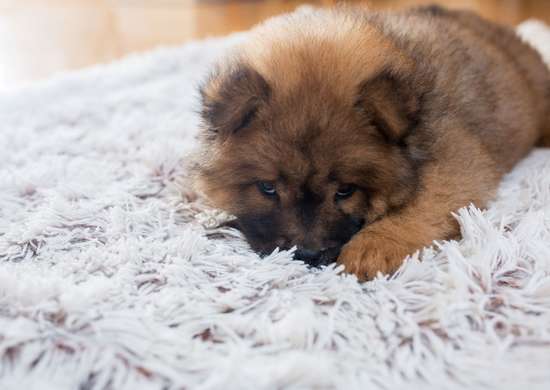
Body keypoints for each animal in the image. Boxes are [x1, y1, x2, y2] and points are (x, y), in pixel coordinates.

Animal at [194, 6, 550, 280]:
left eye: (345, 191)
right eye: (267, 188)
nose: (309, 253)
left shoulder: (457, 160)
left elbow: (421, 207)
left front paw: (370, 250)